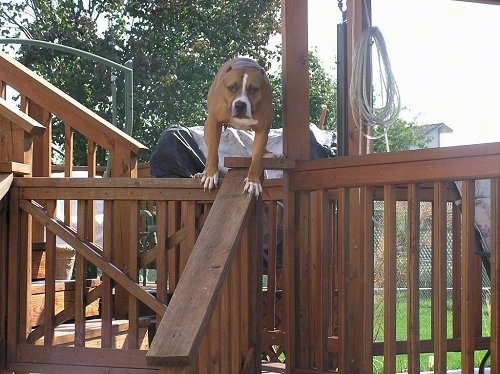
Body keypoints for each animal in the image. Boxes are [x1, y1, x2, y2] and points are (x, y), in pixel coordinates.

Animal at [194, 57, 274, 197]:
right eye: (231, 88)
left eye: (253, 89)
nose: (240, 105)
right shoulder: (214, 122)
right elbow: (213, 152)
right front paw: (210, 175)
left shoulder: (262, 130)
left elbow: (256, 159)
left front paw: (253, 181)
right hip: (207, 128)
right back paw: (204, 173)